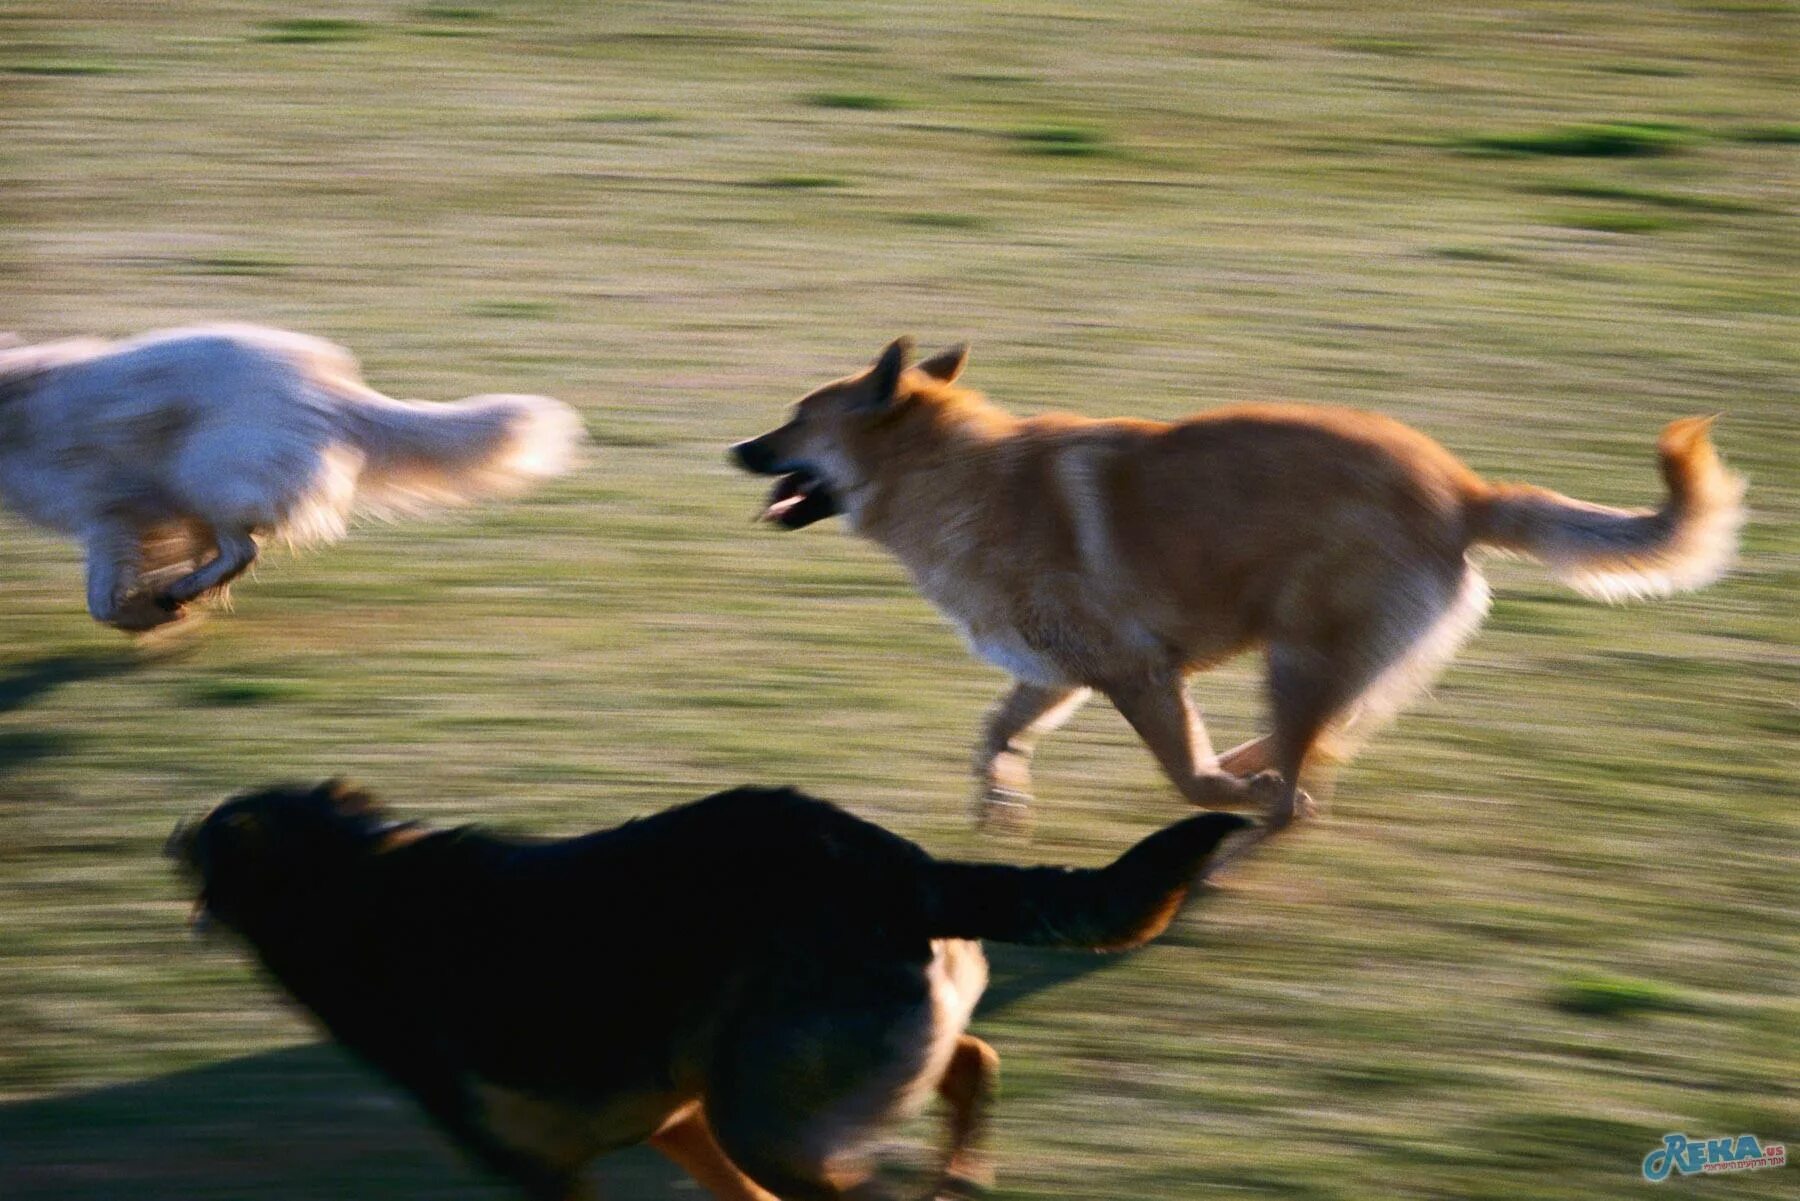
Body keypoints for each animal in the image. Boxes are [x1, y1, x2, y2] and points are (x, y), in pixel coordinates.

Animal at [0, 324, 579, 633]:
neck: (19, 404)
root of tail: (329, 386)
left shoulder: (109, 512)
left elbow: (101, 595)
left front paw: (143, 613)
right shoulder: (147, 516)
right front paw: (160, 601)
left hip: (207, 472)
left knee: (243, 549)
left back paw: (181, 592)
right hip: (207, 484)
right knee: (236, 549)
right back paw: (186, 590)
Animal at [165, 785, 1252, 1195]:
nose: (173, 839)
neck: (351, 882)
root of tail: (902, 864)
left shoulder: (547, 1170)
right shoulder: (678, 1120)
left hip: (768, 1114)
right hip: (783, 1093)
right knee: (975, 1058)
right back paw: (963, 1168)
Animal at [730, 342, 1742, 842]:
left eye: (794, 419)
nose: (734, 447)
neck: (955, 474)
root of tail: (1462, 491)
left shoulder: (1138, 673)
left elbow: (1184, 773)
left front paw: (1217, 787)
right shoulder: (1055, 674)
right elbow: (993, 737)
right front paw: (1002, 807)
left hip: (1298, 657)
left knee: (1298, 777)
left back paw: (1257, 807)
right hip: (1327, 665)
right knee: (1324, 746)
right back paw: (1265, 778)